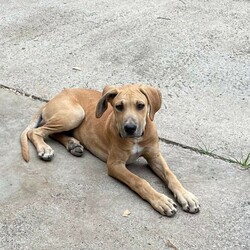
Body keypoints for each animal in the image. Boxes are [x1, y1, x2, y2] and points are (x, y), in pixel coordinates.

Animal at [22, 84, 201, 217]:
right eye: (118, 106)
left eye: (141, 106)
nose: (130, 128)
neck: (136, 139)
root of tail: (54, 97)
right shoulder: (115, 165)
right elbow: (139, 181)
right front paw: (160, 200)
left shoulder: (155, 156)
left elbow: (171, 175)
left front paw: (186, 196)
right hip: (74, 114)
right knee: (35, 132)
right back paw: (45, 148)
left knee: (52, 132)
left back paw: (72, 144)